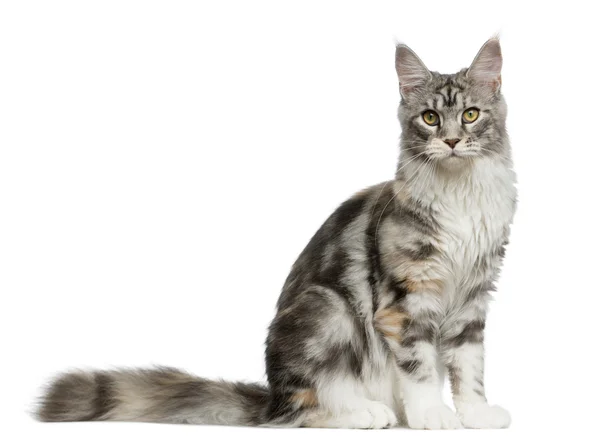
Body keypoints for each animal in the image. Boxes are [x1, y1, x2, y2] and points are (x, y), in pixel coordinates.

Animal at [37, 38, 516, 426]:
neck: (460, 195)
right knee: (305, 409)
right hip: (330, 310)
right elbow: (419, 366)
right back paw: (364, 413)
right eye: (431, 118)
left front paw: (474, 414)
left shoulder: (472, 298)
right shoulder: (407, 300)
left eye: (470, 115)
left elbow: (469, 367)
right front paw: (432, 415)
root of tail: (271, 397)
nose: (451, 141)